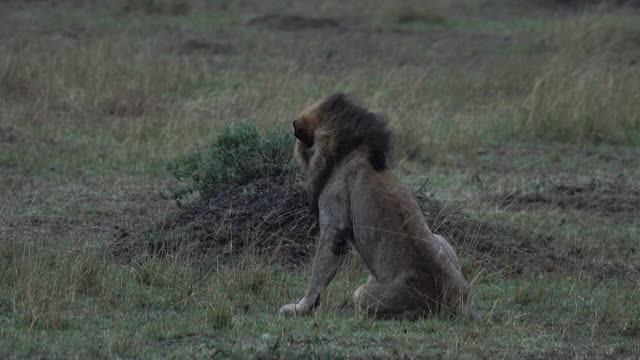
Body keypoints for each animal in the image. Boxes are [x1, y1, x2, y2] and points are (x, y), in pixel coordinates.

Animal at [280, 94, 470, 320]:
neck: (346, 148)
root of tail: (456, 300)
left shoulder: (335, 222)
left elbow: (320, 269)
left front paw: (300, 308)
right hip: (439, 238)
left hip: (363, 295)